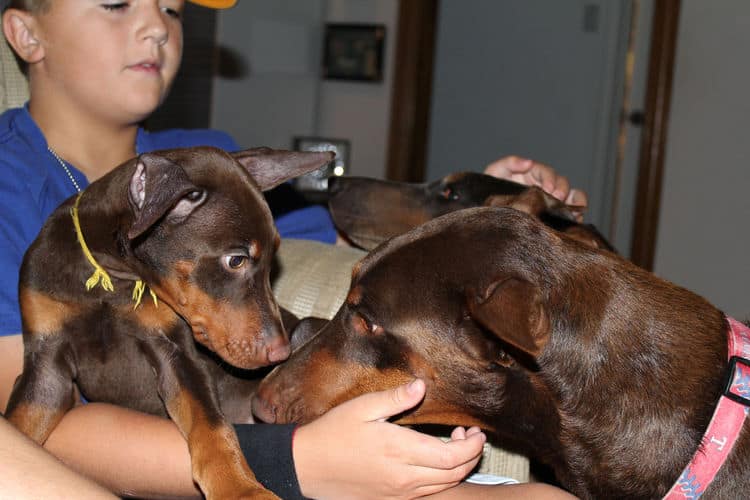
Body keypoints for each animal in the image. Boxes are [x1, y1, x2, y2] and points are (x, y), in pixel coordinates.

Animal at [4, 146, 330, 500]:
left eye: (273, 258)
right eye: (236, 260)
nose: (280, 353)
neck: (110, 278)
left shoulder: (175, 352)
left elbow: (214, 427)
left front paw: (242, 490)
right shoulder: (47, 366)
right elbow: (18, 423)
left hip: (308, 328)